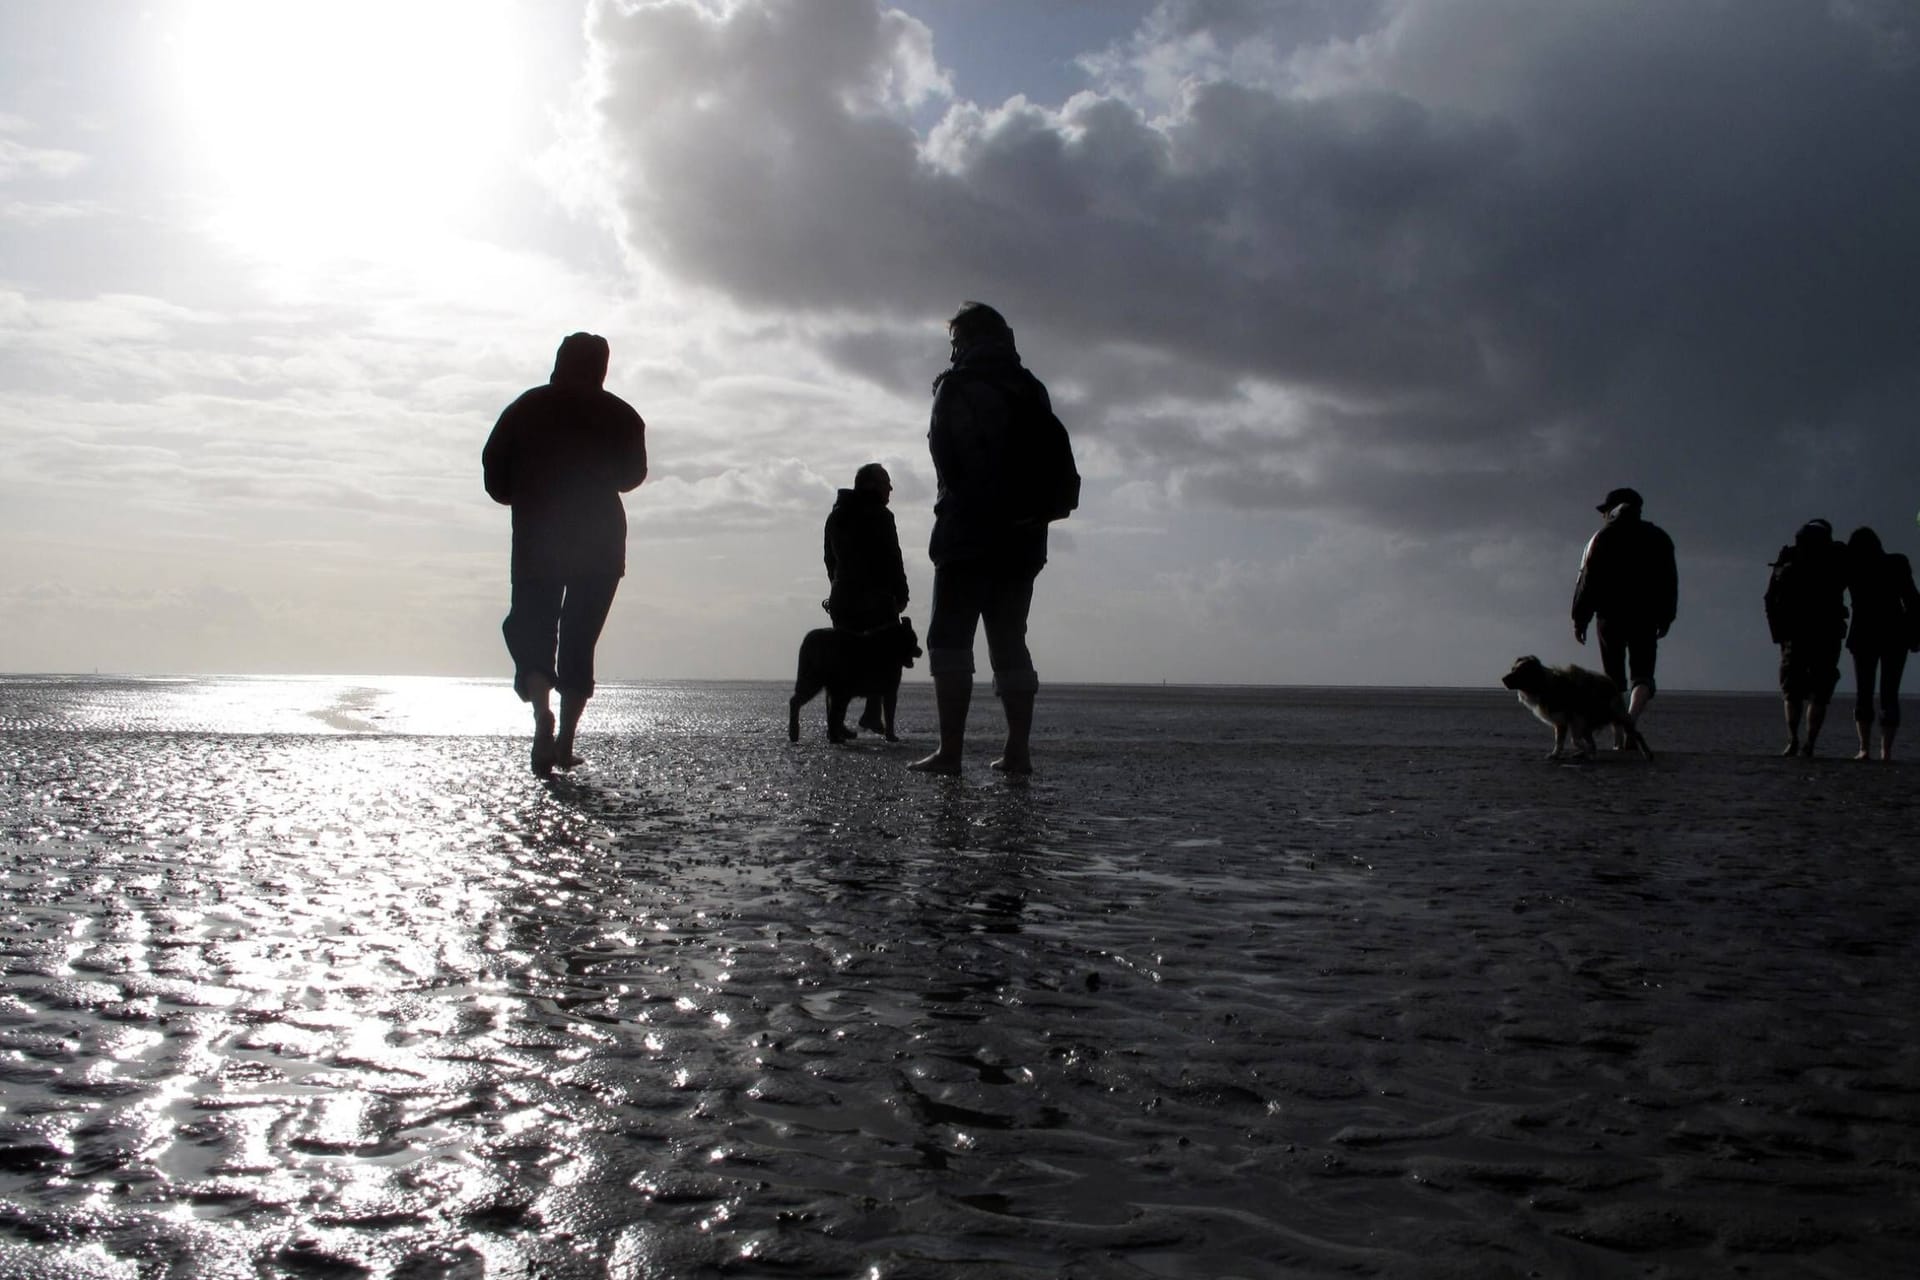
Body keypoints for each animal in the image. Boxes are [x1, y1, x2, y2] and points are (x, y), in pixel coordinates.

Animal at [787, 617, 921, 744]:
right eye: (914, 640)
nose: (921, 651)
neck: (891, 648)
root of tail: (810, 639)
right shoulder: (890, 691)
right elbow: (890, 716)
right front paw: (891, 736)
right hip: (822, 683)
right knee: (809, 706)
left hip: (829, 687)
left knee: (829, 713)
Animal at [1497, 656, 1651, 756]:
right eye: (1512, 669)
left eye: (1518, 672)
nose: (1503, 679)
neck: (1542, 685)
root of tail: (1610, 682)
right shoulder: (1561, 721)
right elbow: (1559, 740)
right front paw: (1556, 754)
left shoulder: (1576, 718)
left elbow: (1574, 739)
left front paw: (1581, 748)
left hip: (1615, 713)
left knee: (1635, 732)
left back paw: (1646, 753)